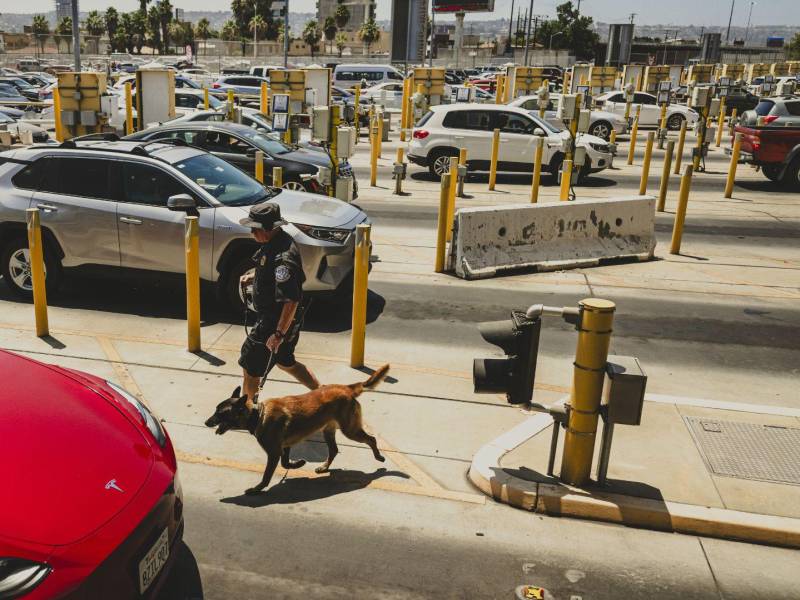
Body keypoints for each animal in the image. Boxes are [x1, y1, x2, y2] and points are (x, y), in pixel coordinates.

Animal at [205, 364, 390, 494]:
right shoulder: (284, 447)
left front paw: (257, 489)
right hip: (328, 431)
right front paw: (298, 464)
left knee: (371, 439)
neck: (258, 415)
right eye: (215, 410)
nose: (206, 422)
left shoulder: (274, 453)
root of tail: (347, 388)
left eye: (221, 413)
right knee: (334, 450)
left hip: (349, 430)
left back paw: (379, 456)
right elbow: (286, 463)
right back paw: (324, 467)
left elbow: (267, 475)